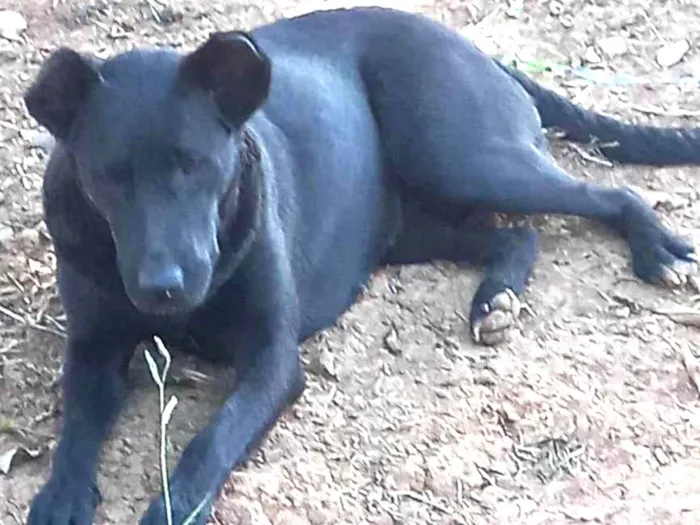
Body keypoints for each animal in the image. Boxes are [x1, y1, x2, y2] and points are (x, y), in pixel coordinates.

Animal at [21, 6, 700, 520]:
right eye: (108, 177)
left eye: (195, 164)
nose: (163, 287)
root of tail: (472, 48)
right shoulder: (94, 347)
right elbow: (76, 426)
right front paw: (61, 496)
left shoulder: (271, 359)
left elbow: (210, 441)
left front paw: (172, 506)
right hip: (408, 225)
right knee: (515, 238)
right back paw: (495, 299)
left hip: (461, 154)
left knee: (606, 195)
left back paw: (657, 249)